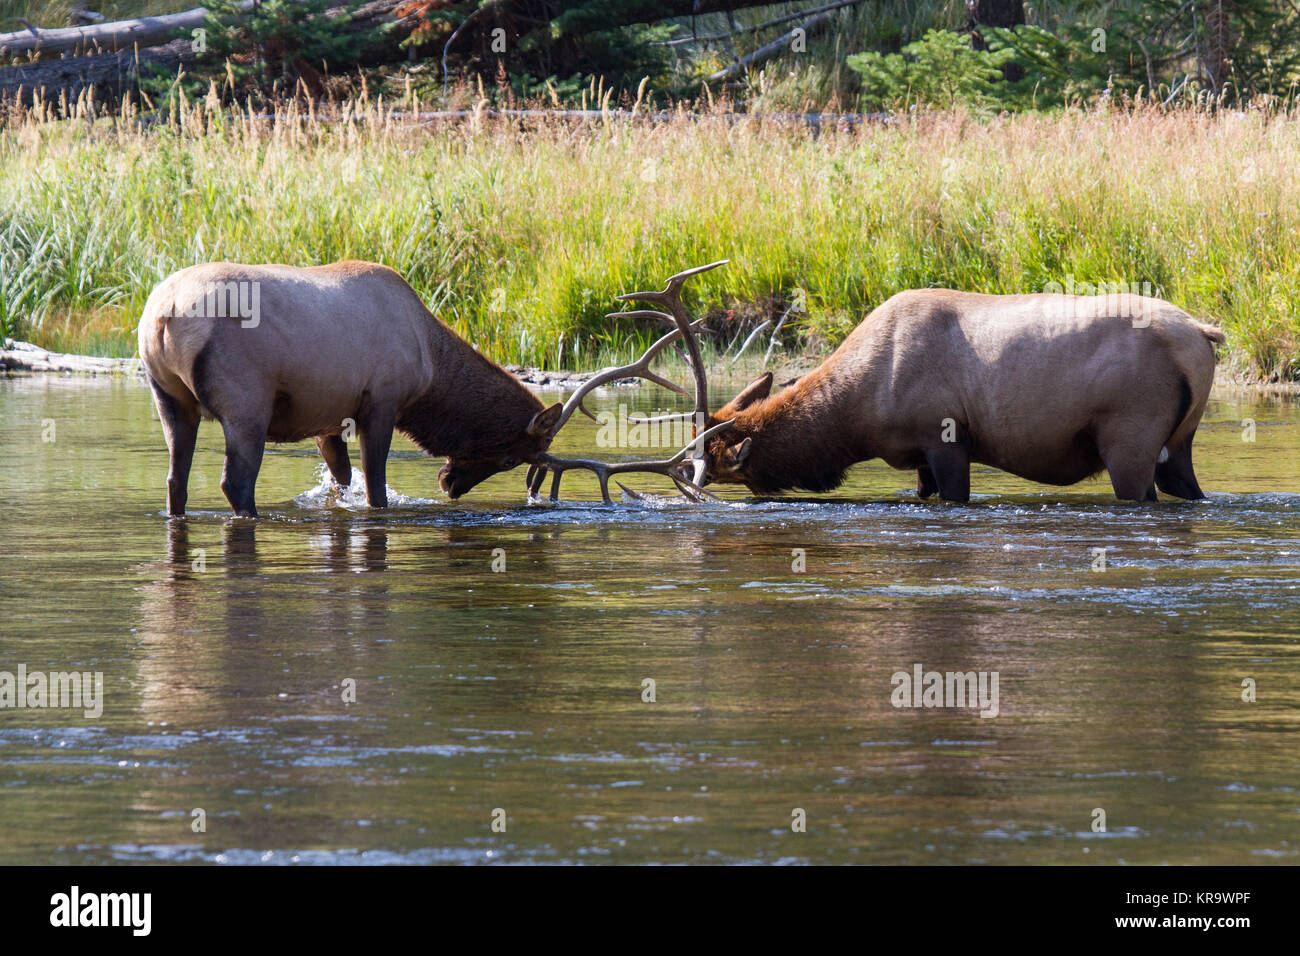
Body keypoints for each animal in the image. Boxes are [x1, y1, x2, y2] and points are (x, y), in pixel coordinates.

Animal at [138, 260, 585, 515]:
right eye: (510, 459)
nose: (449, 484)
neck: (430, 364)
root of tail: (165, 314)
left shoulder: (327, 420)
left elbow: (342, 478)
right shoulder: (382, 401)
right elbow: (375, 485)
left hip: (167, 396)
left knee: (175, 480)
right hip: (246, 401)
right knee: (235, 481)